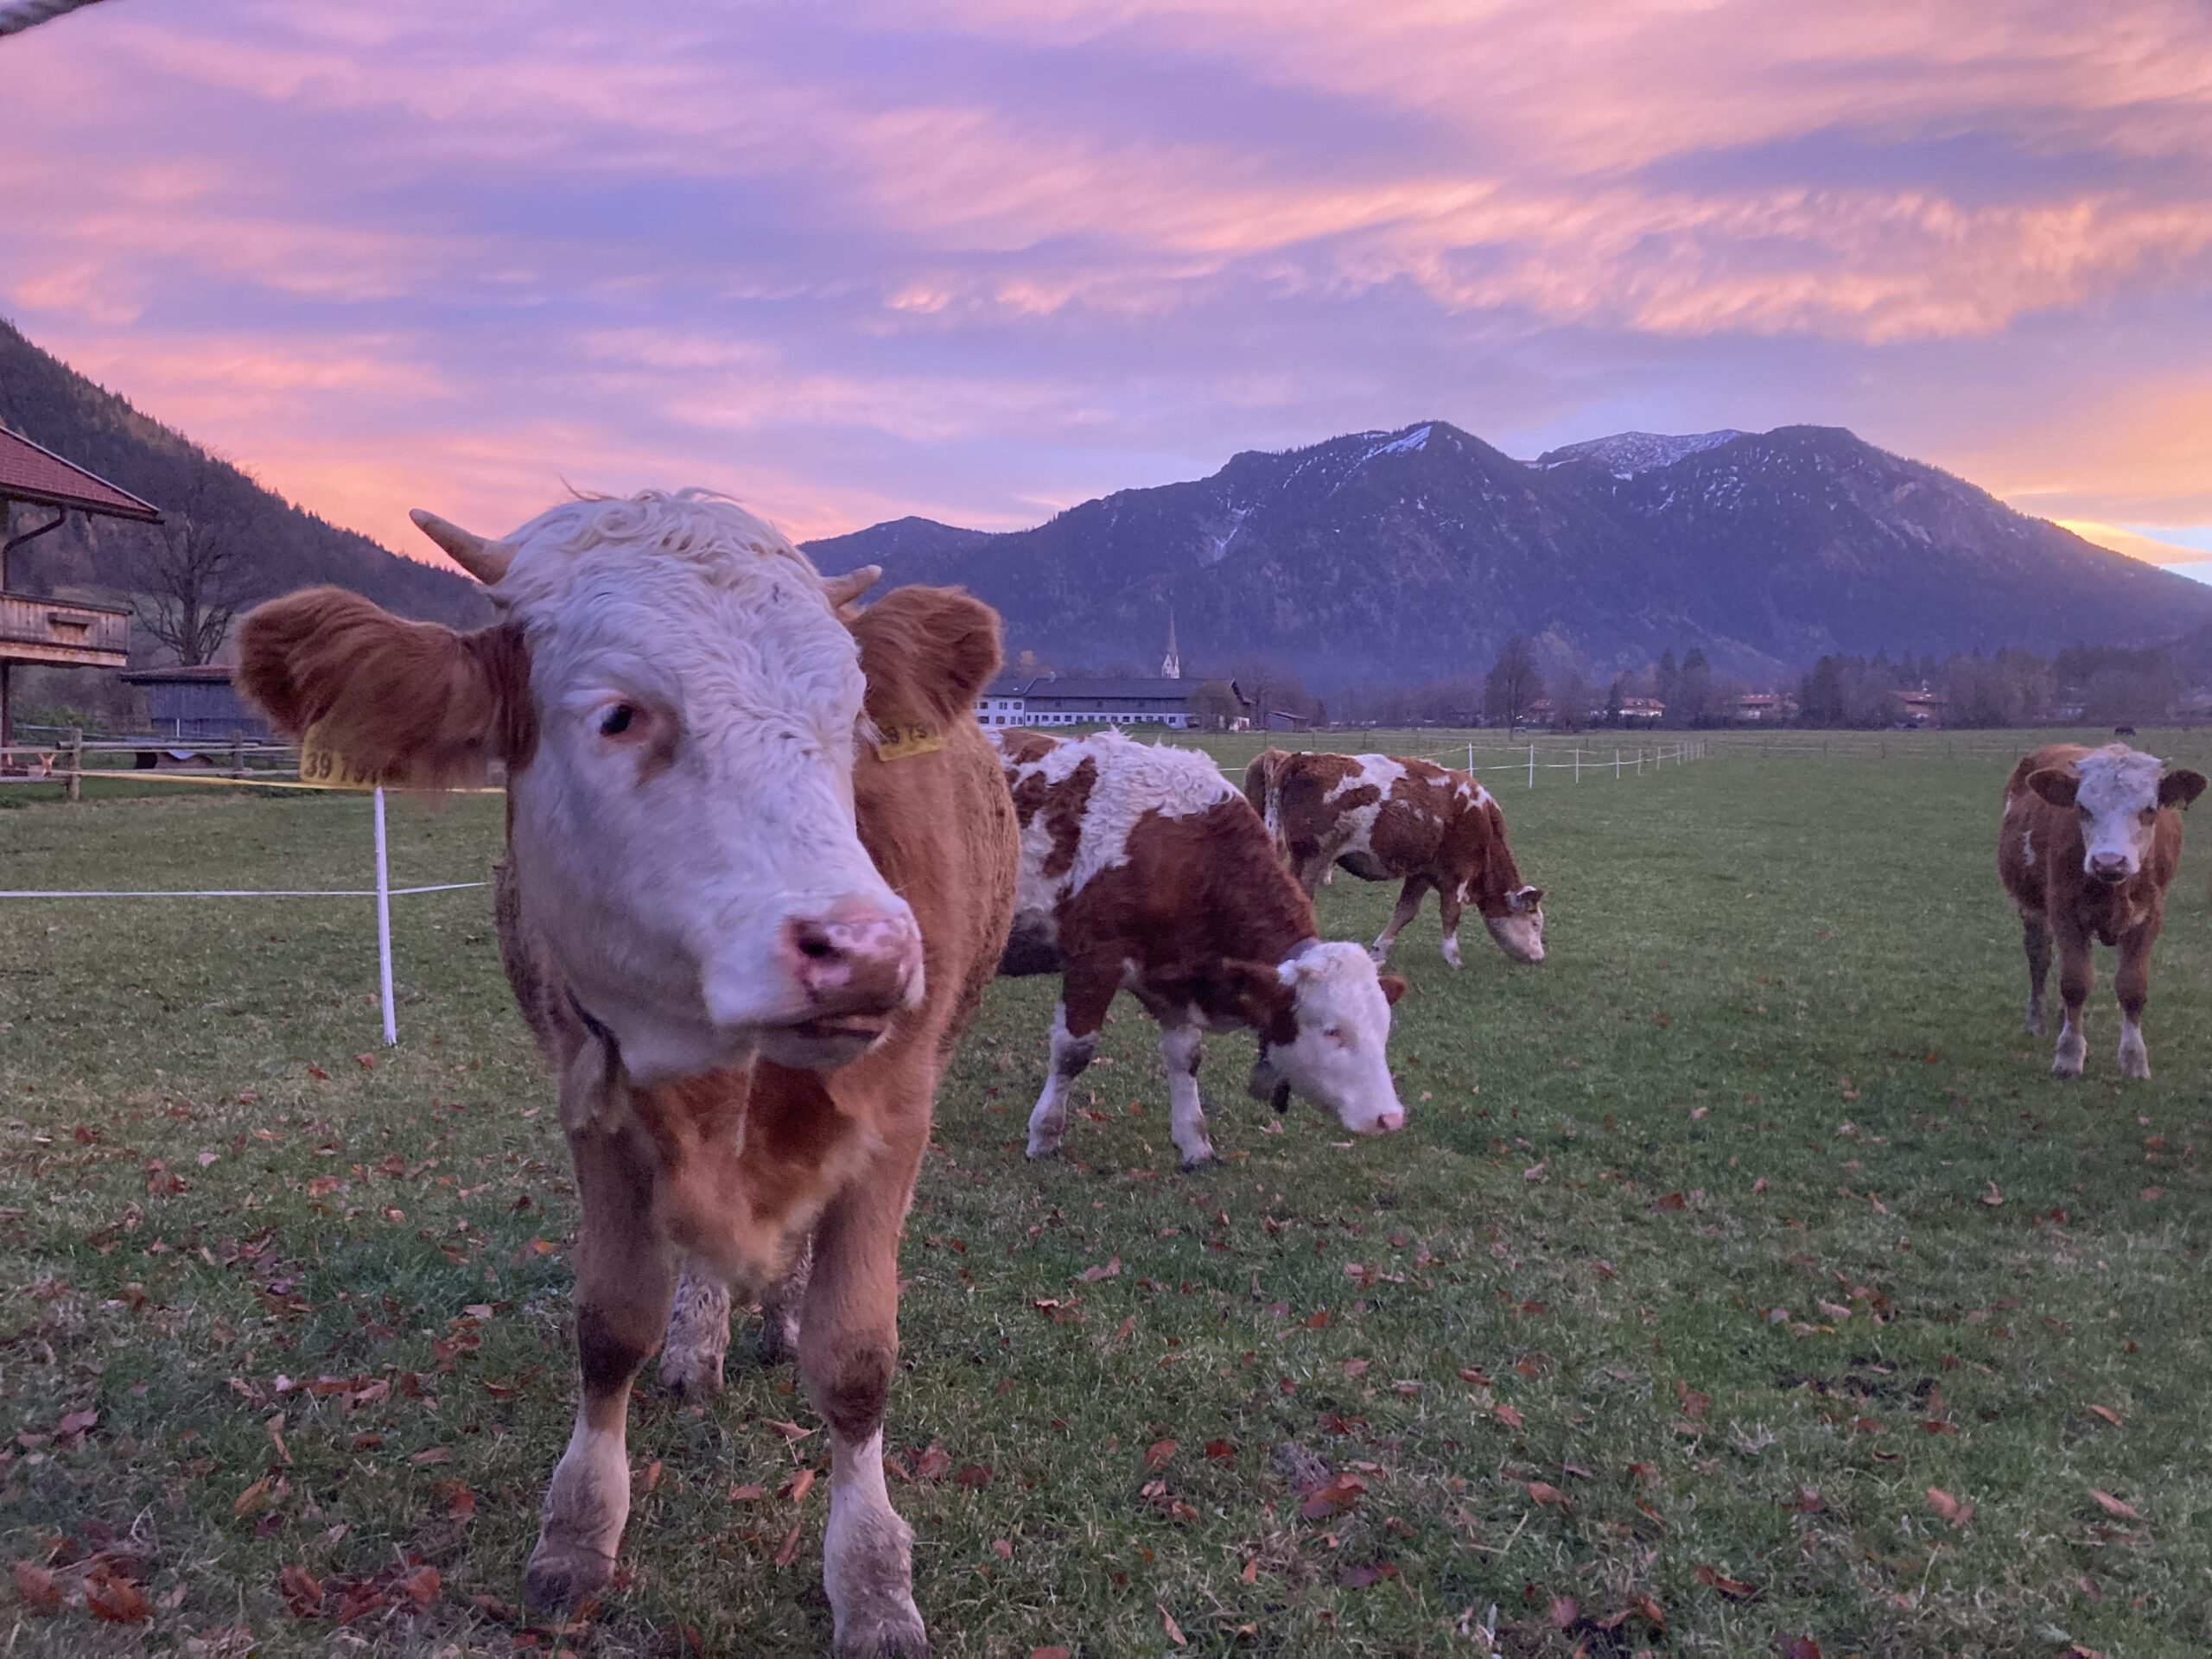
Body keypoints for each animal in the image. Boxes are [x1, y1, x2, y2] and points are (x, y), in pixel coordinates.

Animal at [235, 486, 1017, 1654]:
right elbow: (610, 1327)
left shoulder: (898, 1115)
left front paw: (873, 1580)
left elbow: (855, 1359)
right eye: (618, 716)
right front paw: (577, 1531)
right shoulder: (590, 1102)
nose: (868, 951)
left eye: (854, 725)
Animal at [995, 725, 1407, 1167]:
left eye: (1384, 1028)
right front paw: (1045, 1135)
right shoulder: (1094, 961)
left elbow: (1186, 1057)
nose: (1391, 1117)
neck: (1174, 851)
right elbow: (1072, 1052)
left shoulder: (1176, 974)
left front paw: (1195, 1143)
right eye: (1333, 1031)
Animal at [1238, 752, 1548, 973]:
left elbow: (1405, 912)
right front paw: (1454, 958)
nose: (1540, 957)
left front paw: (1378, 953)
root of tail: (1299, 759)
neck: (1481, 819)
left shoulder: (1421, 873)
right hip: (1312, 857)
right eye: (1535, 923)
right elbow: (1451, 914)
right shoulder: (1458, 873)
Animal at [1999, 739, 2202, 1079]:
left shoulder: (2150, 916)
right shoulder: (2064, 910)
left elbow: (2132, 987)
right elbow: (2075, 982)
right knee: (2039, 959)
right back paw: (2037, 1021)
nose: (2109, 861)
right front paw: (2069, 1056)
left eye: (2149, 810)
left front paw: (2134, 1060)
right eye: (2082, 808)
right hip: (2033, 909)